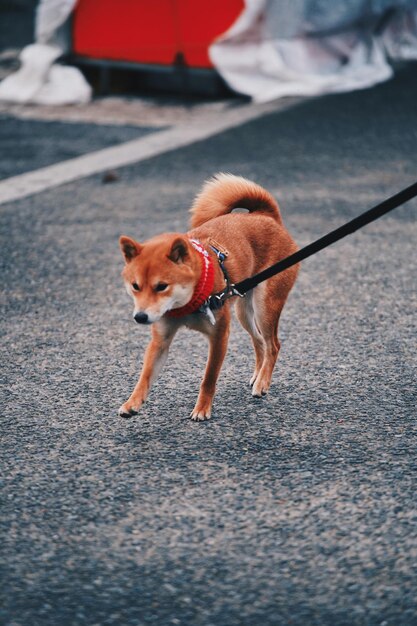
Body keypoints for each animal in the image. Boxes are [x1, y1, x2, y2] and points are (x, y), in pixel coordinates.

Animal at [118, 173, 298, 422]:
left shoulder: (219, 335)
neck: (186, 304)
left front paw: (202, 408)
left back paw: (262, 383)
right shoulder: (160, 341)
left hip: (265, 306)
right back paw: (258, 375)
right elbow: (144, 377)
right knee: (260, 341)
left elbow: (208, 378)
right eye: (135, 286)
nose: (140, 317)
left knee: (273, 345)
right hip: (244, 311)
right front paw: (132, 403)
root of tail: (266, 216)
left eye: (162, 286)